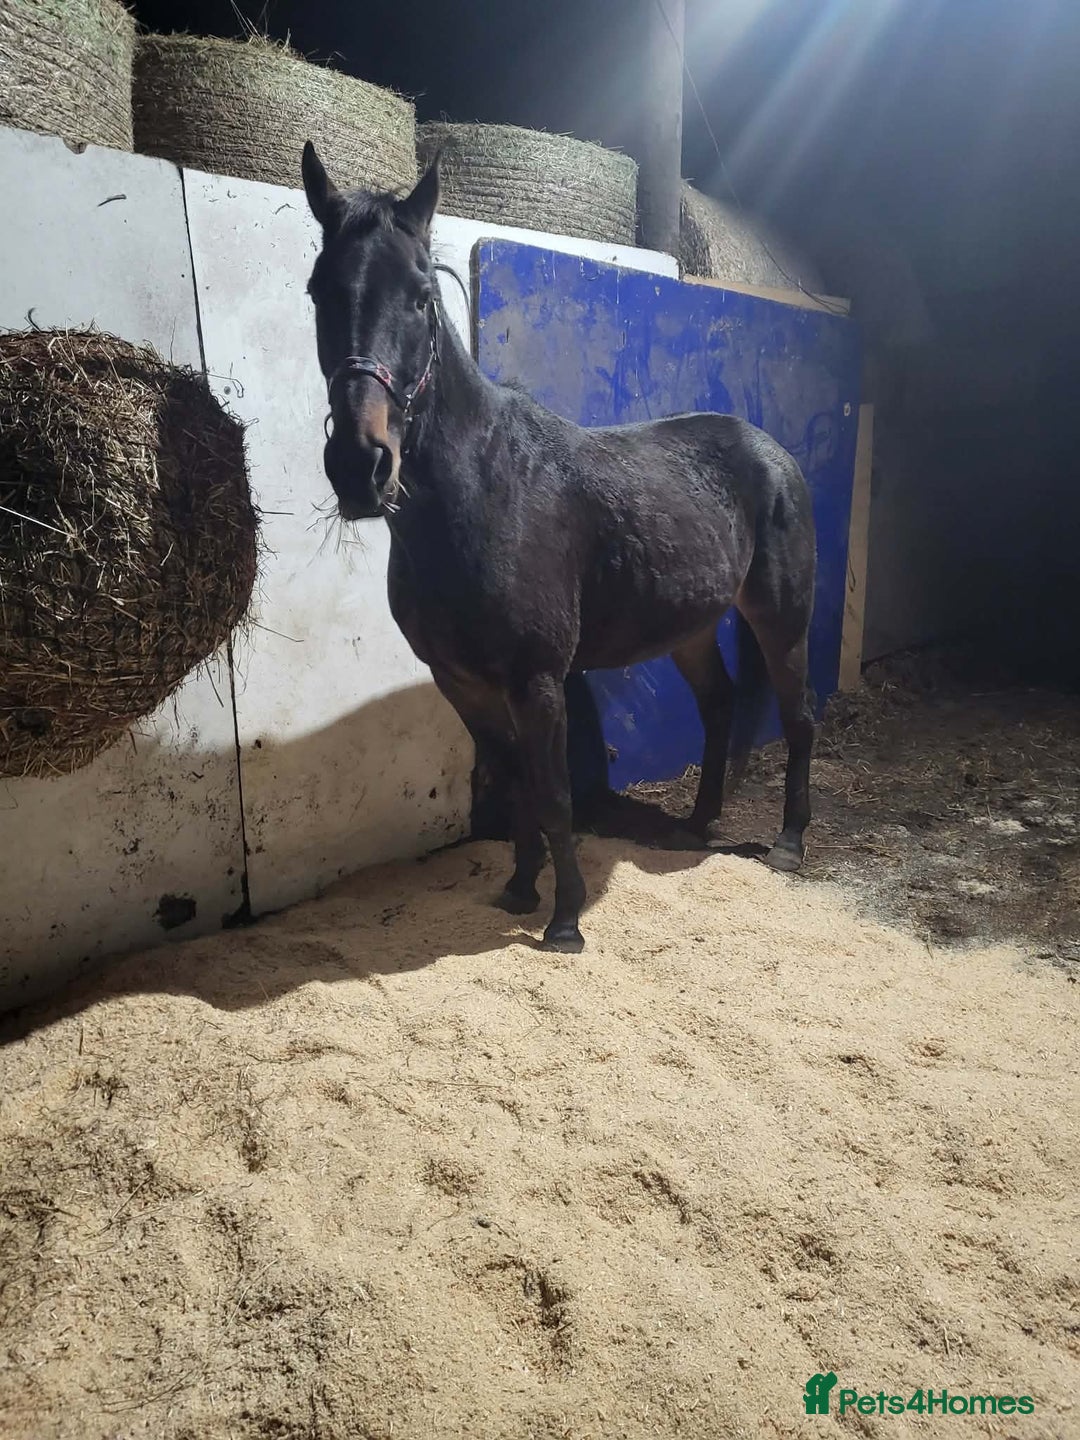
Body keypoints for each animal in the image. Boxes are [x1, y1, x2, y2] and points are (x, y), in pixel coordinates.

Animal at [301, 143, 818, 954]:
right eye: (320, 290)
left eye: (420, 297)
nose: (361, 466)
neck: (483, 493)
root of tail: (772, 451)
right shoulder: (464, 683)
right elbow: (515, 785)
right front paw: (518, 889)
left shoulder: (537, 680)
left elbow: (551, 794)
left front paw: (566, 920)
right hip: (690, 627)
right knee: (719, 705)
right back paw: (696, 825)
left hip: (780, 615)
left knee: (797, 718)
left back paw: (790, 844)